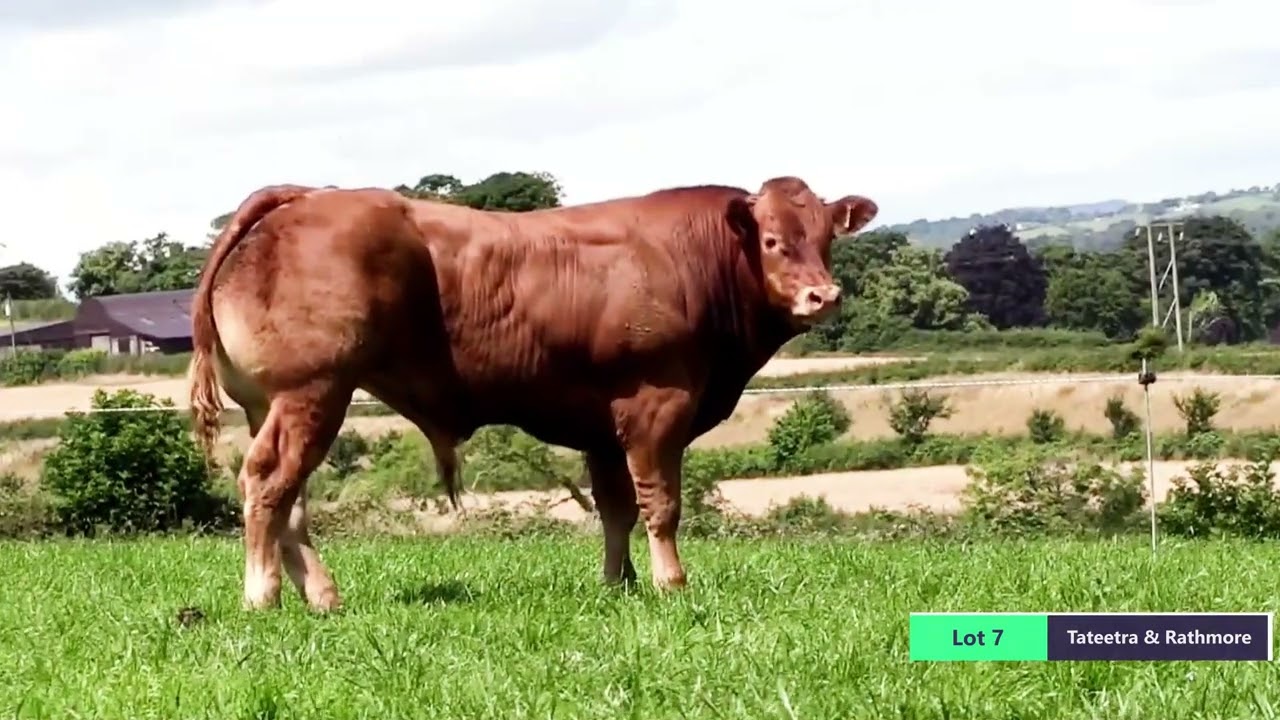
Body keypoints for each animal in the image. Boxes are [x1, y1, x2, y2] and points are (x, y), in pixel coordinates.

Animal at [187, 176, 878, 612]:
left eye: (826, 237)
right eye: (771, 240)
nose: (823, 295)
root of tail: (304, 195)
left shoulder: (604, 426)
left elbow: (616, 510)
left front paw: (618, 585)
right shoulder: (657, 403)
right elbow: (661, 505)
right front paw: (670, 583)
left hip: (277, 402)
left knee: (289, 501)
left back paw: (322, 597)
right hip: (313, 391)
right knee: (269, 483)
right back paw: (262, 595)